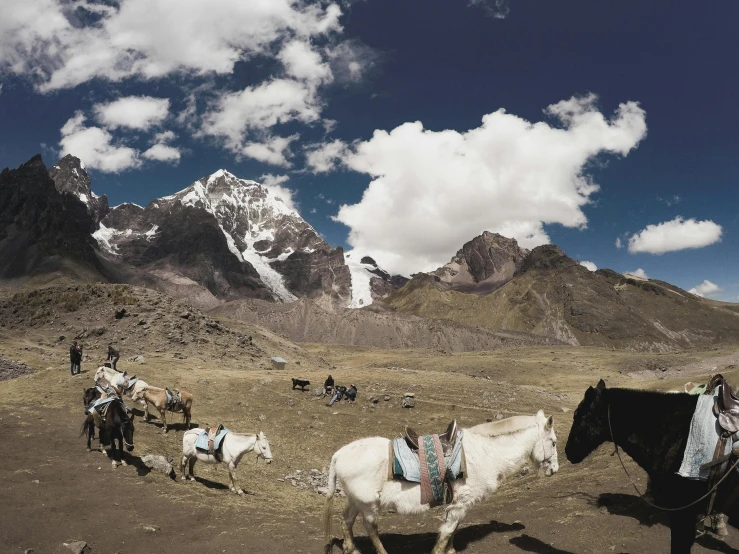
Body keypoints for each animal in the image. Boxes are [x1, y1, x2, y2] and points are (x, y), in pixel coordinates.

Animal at [324, 408, 560, 552]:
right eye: (554, 442)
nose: (554, 469)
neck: (484, 451)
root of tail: (338, 455)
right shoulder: (461, 502)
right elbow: (448, 530)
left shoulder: (458, 503)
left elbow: (453, 528)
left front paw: (452, 550)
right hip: (368, 503)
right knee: (369, 527)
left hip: (355, 500)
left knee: (347, 520)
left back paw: (351, 549)